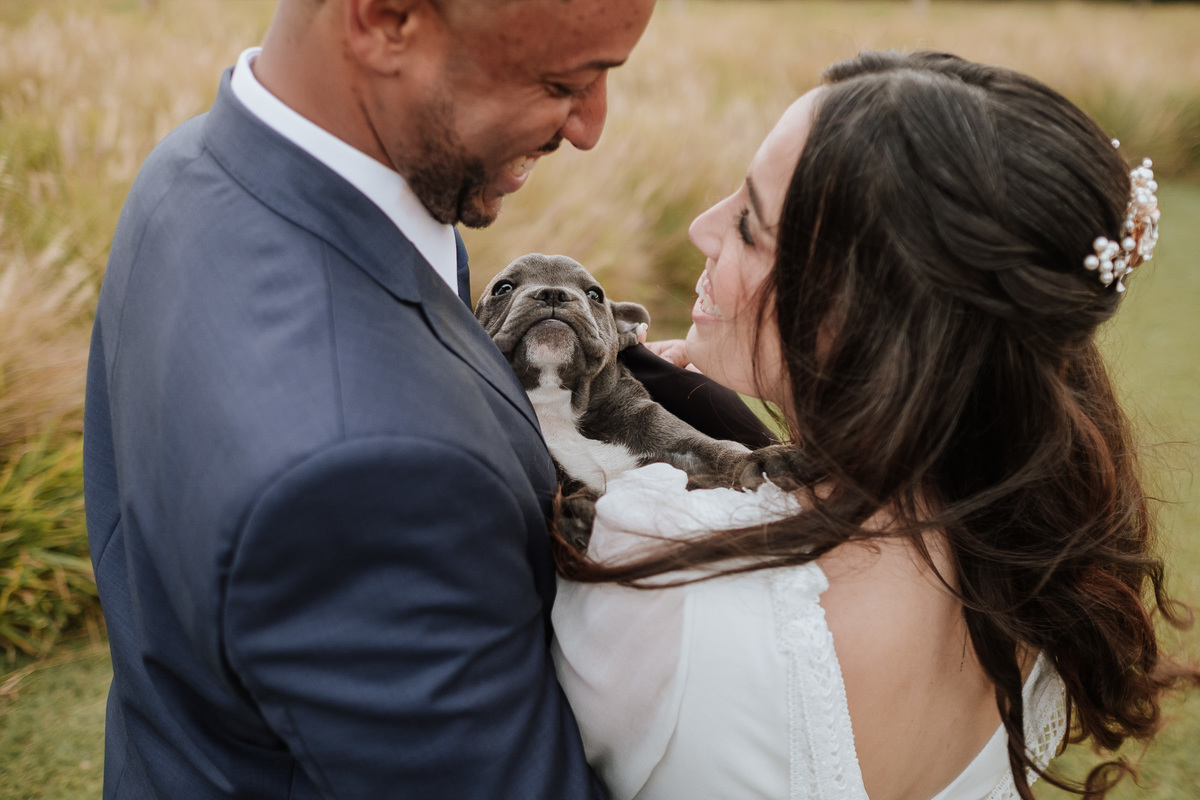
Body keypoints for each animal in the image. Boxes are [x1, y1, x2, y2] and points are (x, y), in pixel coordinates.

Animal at [476, 254, 755, 507]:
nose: (553, 293)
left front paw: (760, 464)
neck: (557, 404)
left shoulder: (683, 445)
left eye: (594, 295)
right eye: (503, 288)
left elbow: (725, 455)